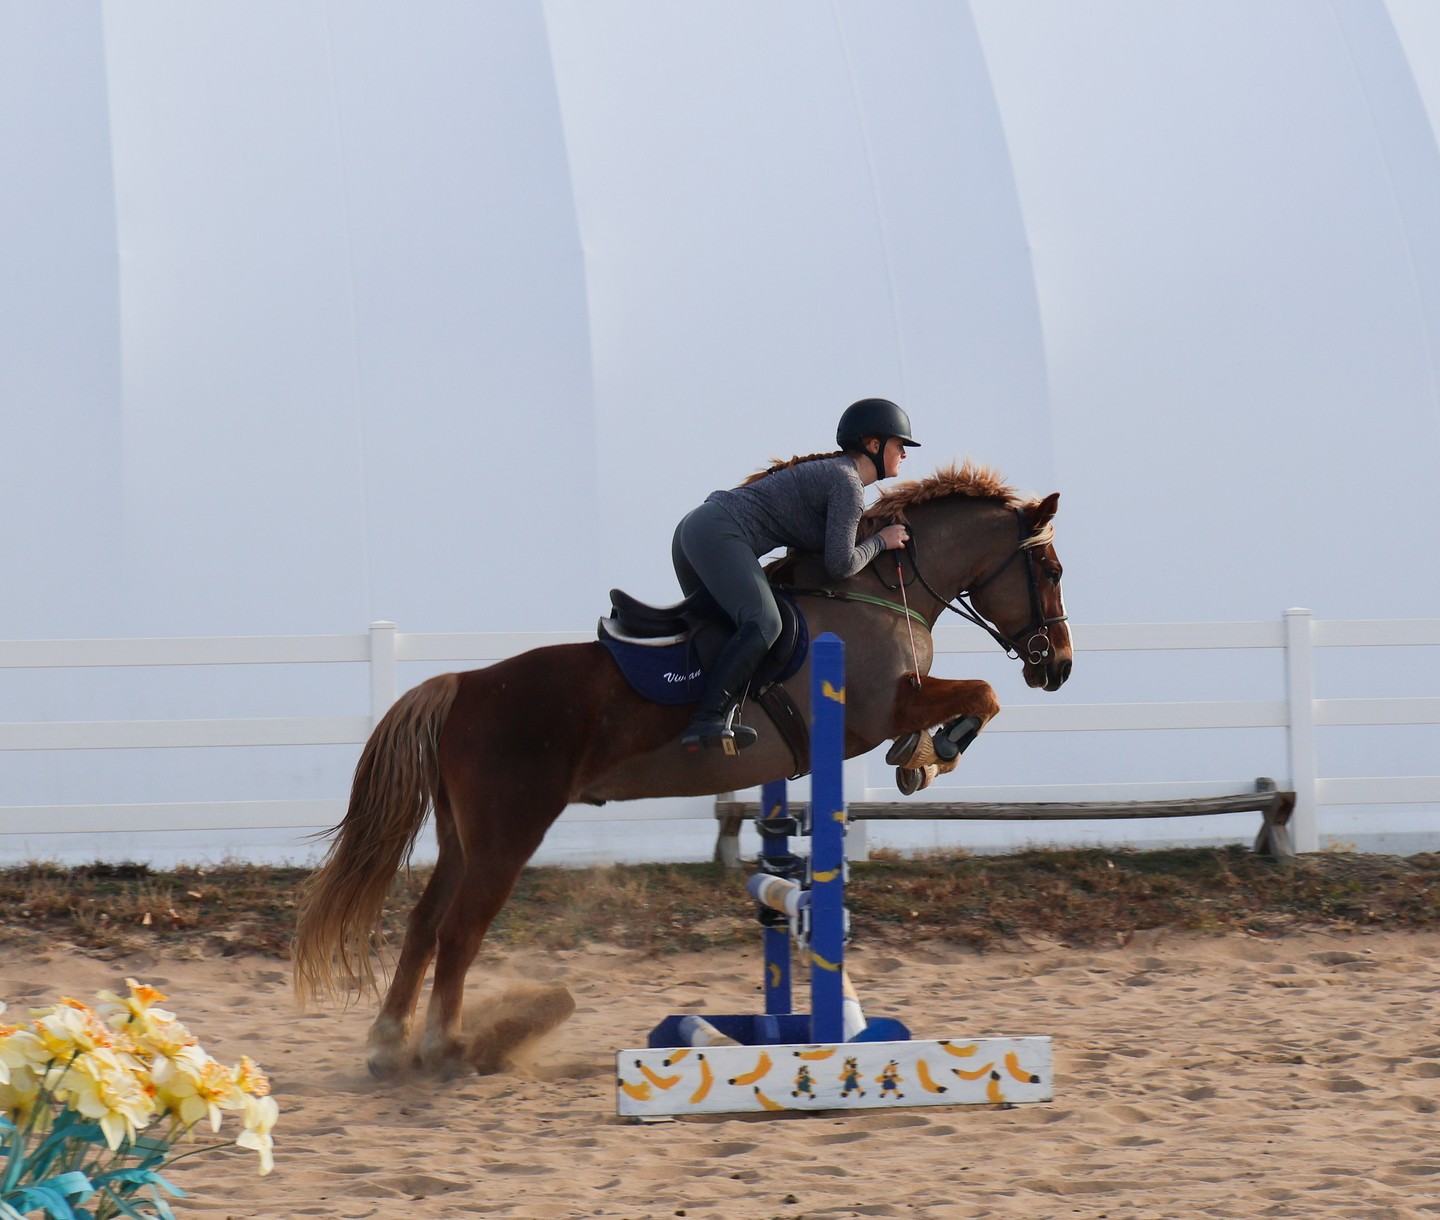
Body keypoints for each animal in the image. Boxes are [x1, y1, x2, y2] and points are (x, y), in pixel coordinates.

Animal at [293, 460, 1072, 1077]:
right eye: (1051, 570)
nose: (1057, 667)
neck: (874, 589)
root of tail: (463, 684)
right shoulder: (877, 709)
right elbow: (981, 694)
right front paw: (934, 755)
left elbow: (962, 703)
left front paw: (919, 758)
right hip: (506, 836)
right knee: (457, 932)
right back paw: (447, 1048)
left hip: (464, 835)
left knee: (424, 924)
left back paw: (389, 1045)